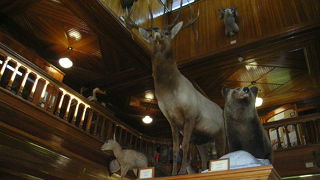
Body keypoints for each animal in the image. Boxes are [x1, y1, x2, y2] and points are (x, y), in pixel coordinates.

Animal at [122, 0, 225, 174]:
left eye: (167, 33)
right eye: (150, 35)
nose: (156, 31)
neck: (169, 94)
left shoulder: (190, 115)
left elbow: (184, 146)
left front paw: (182, 172)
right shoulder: (172, 121)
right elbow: (176, 148)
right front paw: (173, 172)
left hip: (221, 133)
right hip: (203, 139)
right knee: (205, 157)